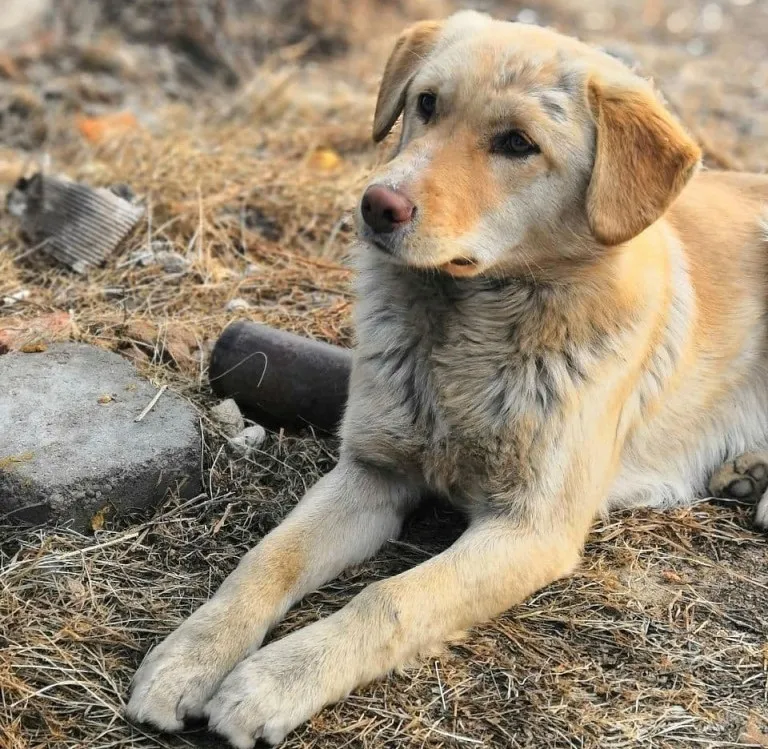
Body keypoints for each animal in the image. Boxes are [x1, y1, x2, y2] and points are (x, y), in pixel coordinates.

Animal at [124, 10, 768, 744]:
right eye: (427, 103)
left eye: (518, 143)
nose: (377, 205)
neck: (466, 332)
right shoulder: (371, 471)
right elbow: (269, 557)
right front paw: (191, 656)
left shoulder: (530, 529)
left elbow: (391, 598)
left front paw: (275, 680)